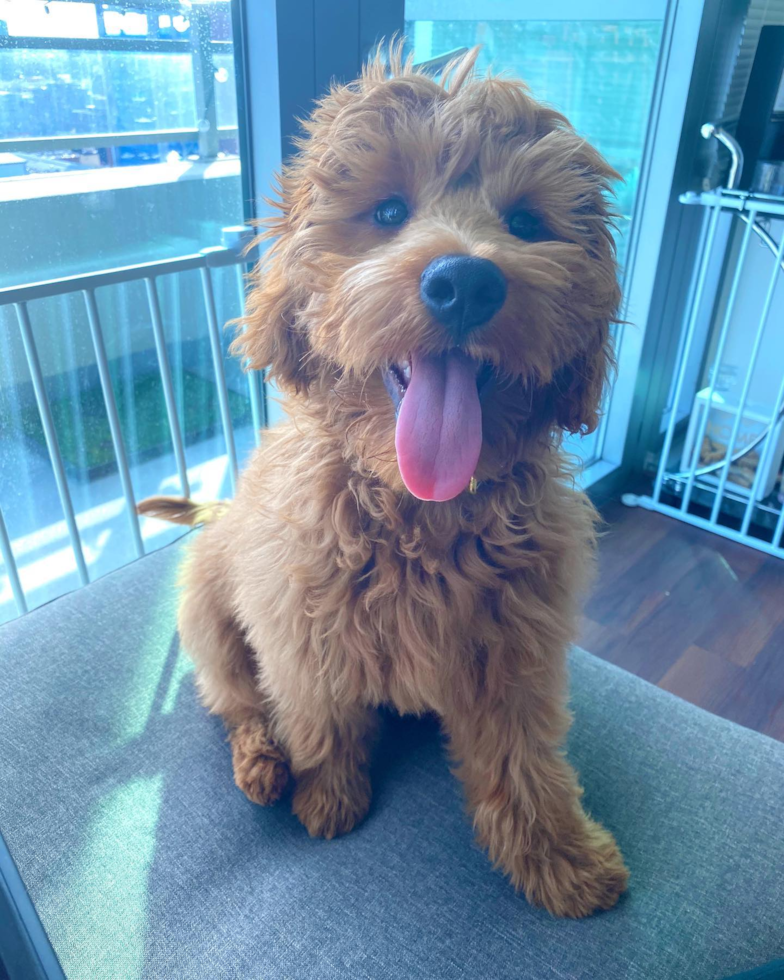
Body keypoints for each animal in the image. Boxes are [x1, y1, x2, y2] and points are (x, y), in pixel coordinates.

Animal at [138, 46, 632, 920]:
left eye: (526, 224)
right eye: (389, 210)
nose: (465, 282)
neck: (418, 509)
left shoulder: (516, 653)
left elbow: (524, 762)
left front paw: (560, 859)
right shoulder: (298, 632)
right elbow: (320, 718)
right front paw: (328, 798)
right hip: (206, 616)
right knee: (234, 701)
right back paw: (262, 763)